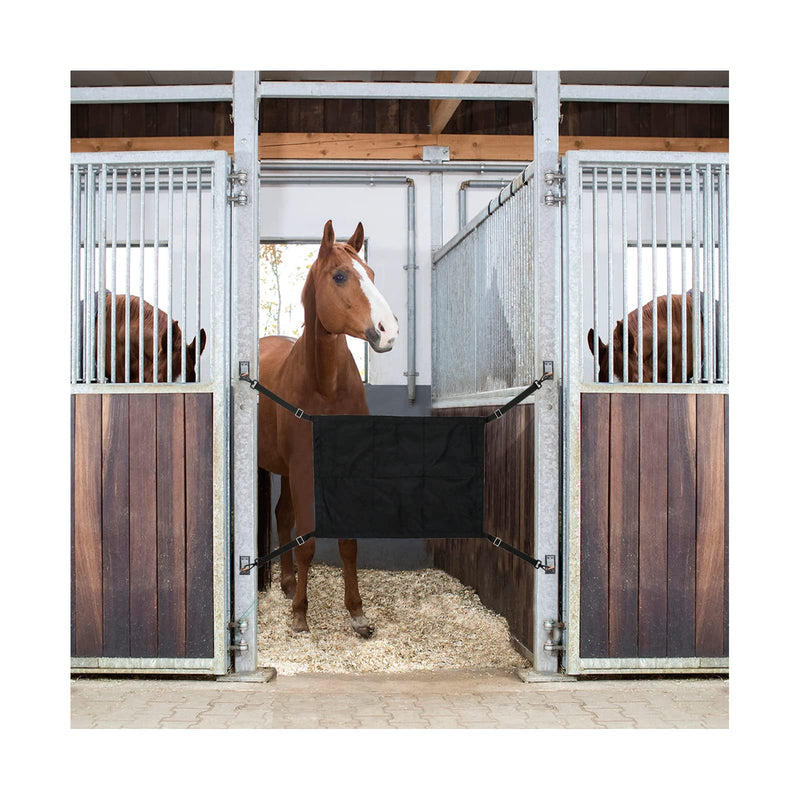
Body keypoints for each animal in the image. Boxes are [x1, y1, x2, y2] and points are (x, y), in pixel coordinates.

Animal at [257, 220, 399, 637]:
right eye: (340, 276)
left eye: (371, 274)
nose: (388, 330)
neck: (326, 387)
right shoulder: (305, 468)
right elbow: (307, 542)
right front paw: (300, 615)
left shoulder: (344, 470)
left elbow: (348, 543)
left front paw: (357, 613)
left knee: (283, 515)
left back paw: (288, 582)